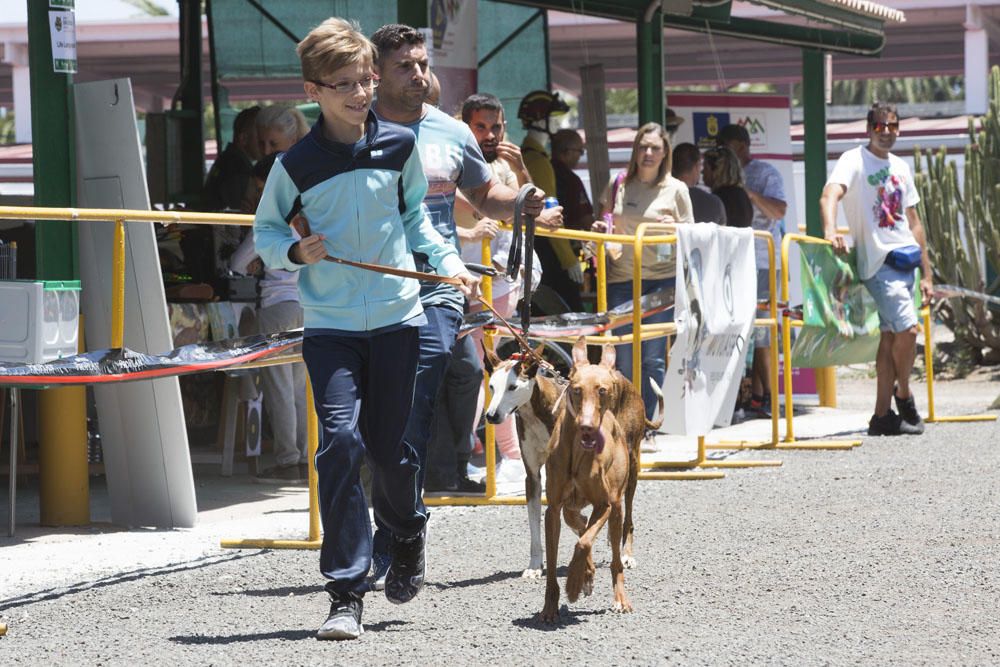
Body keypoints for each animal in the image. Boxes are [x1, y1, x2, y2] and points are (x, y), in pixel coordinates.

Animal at [544, 340, 636, 628]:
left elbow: (583, 544)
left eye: (602, 390)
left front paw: (574, 584)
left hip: (617, 507)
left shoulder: (604, 505)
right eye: (576, 390)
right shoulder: (552, 510)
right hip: (571, 509)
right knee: (580, 523)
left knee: (615, 557)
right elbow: (553, 565)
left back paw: (619, 597)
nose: (585, 426)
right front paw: (549, 607)